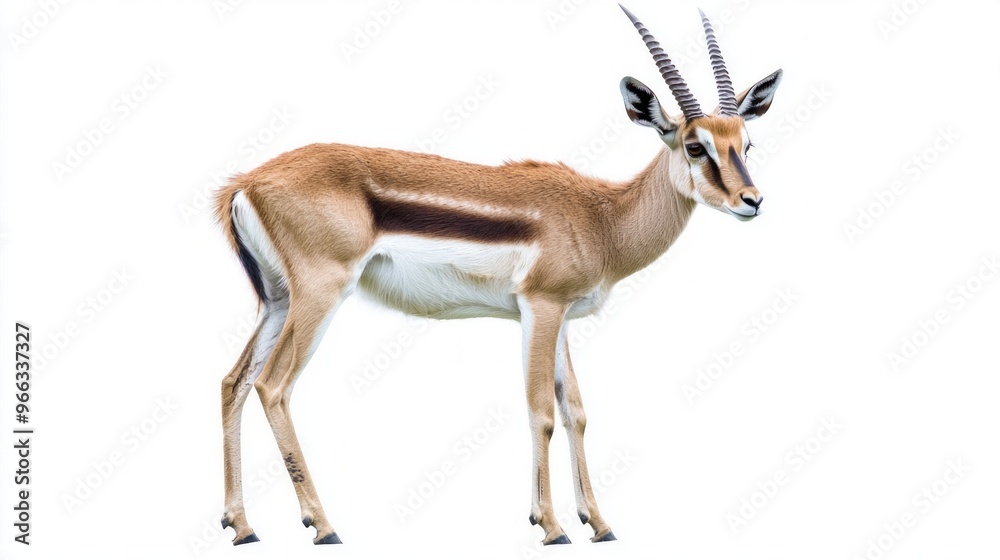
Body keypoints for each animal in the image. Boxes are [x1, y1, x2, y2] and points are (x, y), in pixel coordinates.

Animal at [215, 5, 782, 546]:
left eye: (746, 143)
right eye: (694, 145)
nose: (751, 200)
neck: (602, 217)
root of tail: (247, 182)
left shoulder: (562, 317)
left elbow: (576, 410)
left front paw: (599, 524)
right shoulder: (541, 307)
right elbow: (541, 411)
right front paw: (552, 527)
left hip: (278, 301)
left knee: (232, 382)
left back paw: (242, 526)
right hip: (319, 295)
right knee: (273, 386)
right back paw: (324, 525)